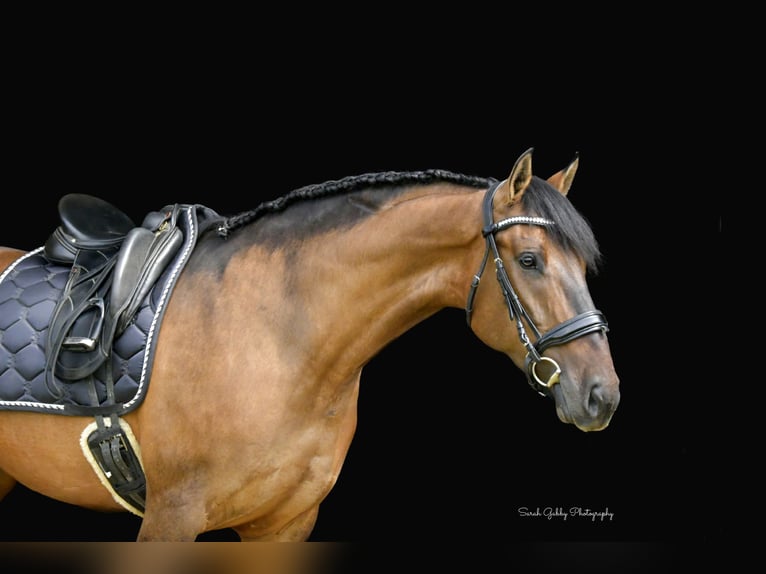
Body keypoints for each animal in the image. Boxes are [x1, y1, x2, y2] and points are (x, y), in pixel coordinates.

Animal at [0, 148, 620, 541]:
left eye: (585, 265)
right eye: (530, 260)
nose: (602, 395)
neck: (279, 337)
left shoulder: (285, 525)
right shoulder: (170, 518)